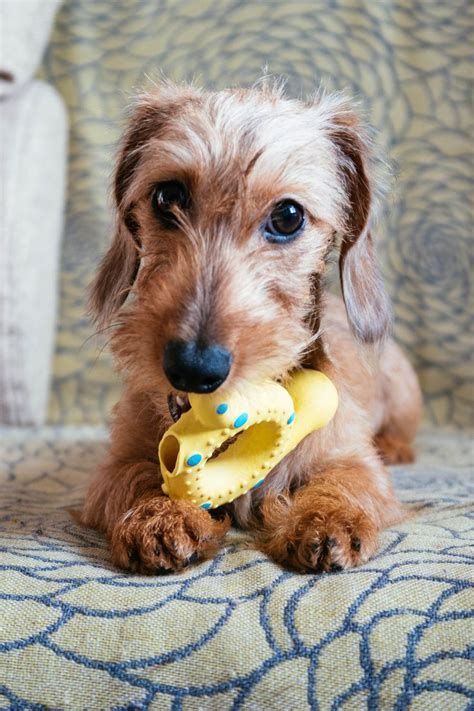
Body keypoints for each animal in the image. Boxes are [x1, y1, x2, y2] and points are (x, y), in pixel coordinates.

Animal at [78, 80, 422, 576]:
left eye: (288, 216)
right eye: (166, 197)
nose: (193, 367)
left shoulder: (353, 460)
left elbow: (345, 481)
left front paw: (325, 519)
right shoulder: (113, 466)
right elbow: (136, 475)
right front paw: (158, 515)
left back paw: (395, 446)